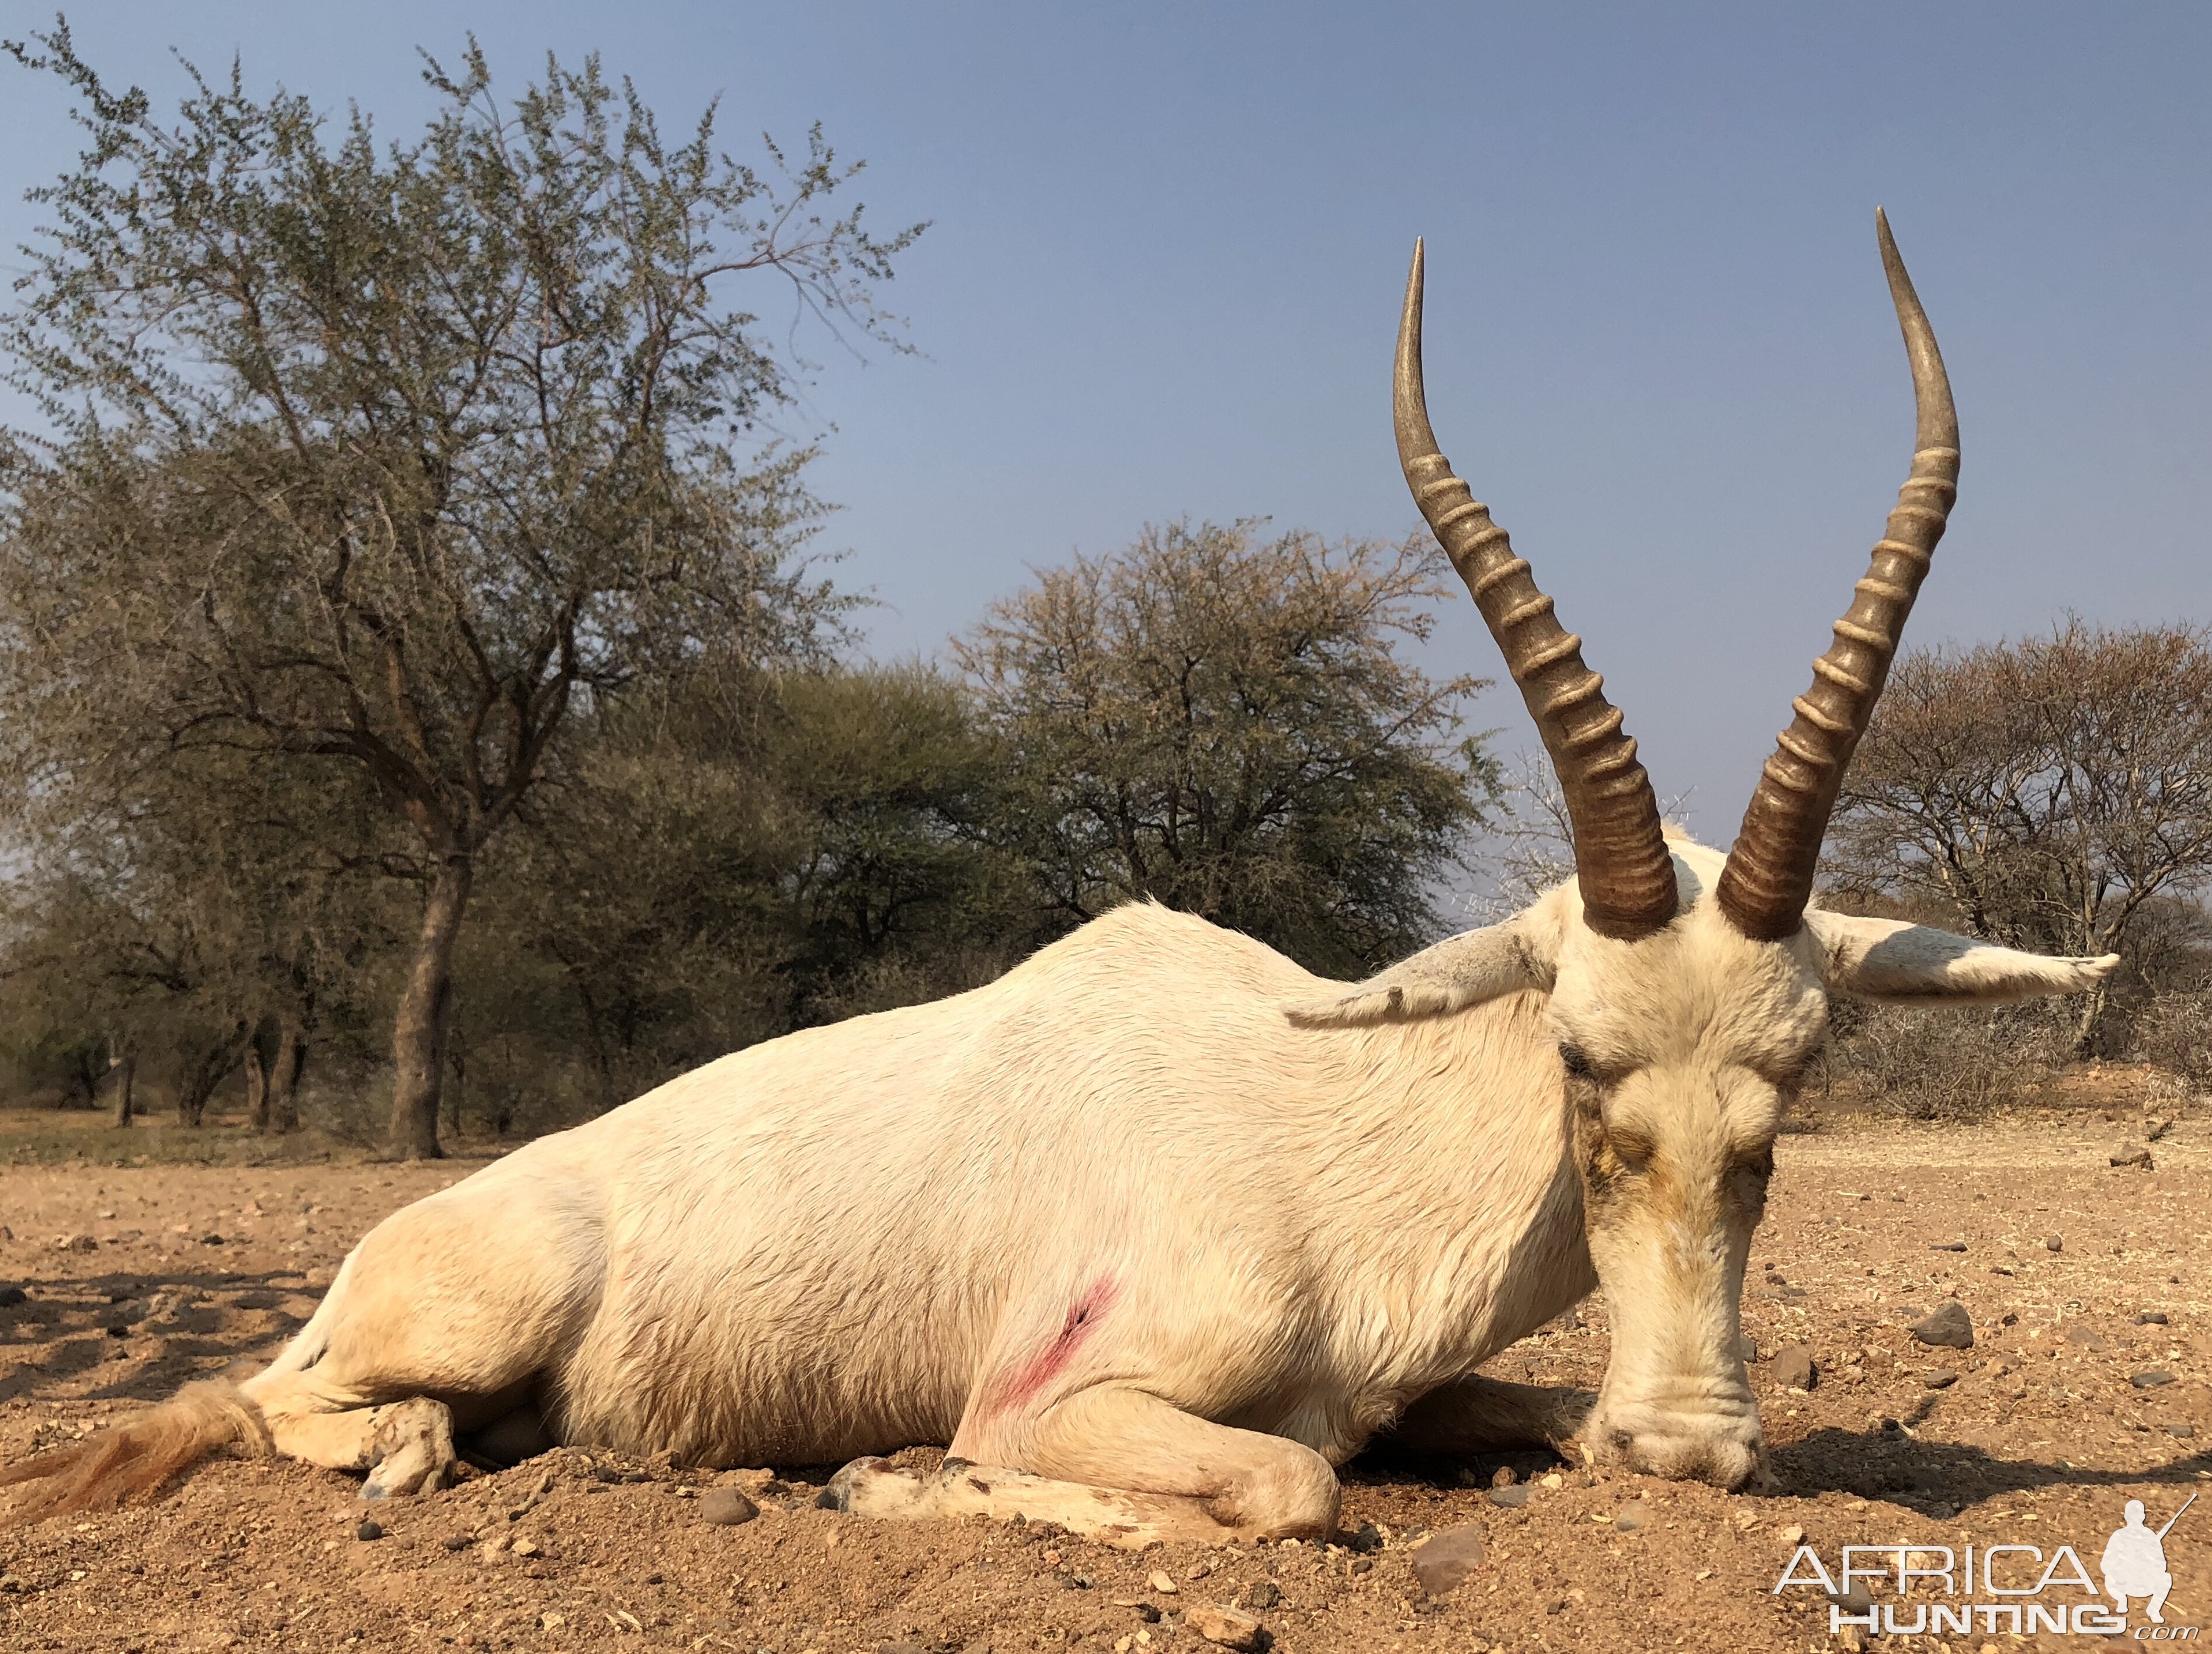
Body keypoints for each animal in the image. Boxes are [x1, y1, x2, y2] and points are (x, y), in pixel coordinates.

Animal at [0, 213, 2106, 1548]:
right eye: (1578, 1059)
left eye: (1795, 1083)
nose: (1690, 1449)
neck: (1322, 1117)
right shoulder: (1073, 1390)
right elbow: (1275, 1482)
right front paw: (885, 1480)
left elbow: (1460, 1433)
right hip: (460, 1307)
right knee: (299, 1407)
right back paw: (418, 1453)